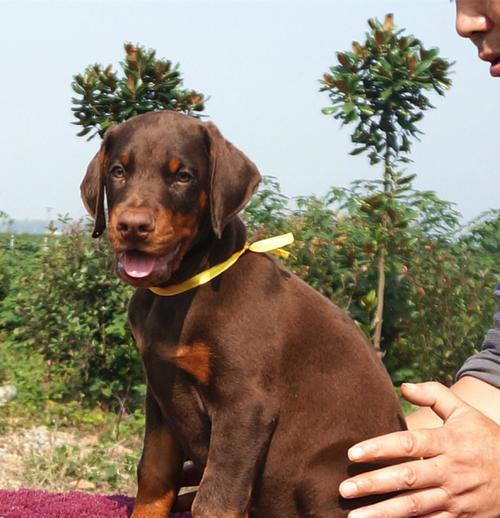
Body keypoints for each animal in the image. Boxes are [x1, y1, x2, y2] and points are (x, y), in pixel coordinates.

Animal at [81, 111, 406, 516]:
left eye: (183, 176)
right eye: (118, 171)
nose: (133, 226)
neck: (181, 289)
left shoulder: (245, 406)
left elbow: (215, 499)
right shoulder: (160, 393)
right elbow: (154, 475)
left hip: (330, 471)